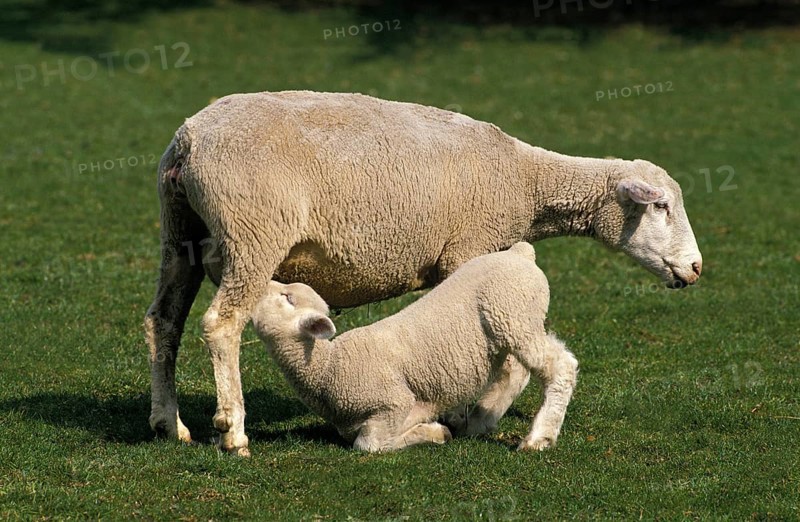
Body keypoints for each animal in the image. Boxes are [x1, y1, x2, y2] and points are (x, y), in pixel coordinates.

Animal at [250, 242, 577, 452]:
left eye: (288, 298)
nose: (260, 283)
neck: (329, 368)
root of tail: (520, 253)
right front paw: (439, 428)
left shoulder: (394, 401)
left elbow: (369, 445)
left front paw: (432, 432)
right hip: (512, 328)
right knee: (517, 371)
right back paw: (480, 421)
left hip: (513, 317)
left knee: (561, 366)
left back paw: (538, 439)